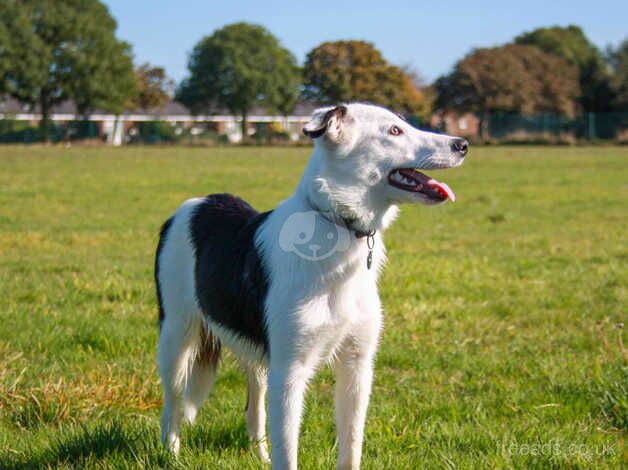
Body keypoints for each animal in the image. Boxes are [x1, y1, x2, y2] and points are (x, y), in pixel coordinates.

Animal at [153, 103, 466, 470]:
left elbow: (351, 449)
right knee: (172, 405)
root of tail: (197, 203)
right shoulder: (291, 371)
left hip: (257, 356)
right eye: (394, 131)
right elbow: (288, 453)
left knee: (253, 407)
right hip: (177, 337)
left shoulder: (357, 366)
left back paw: (259, 456)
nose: (463, 144)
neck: (338, 225)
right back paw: (171, 456)